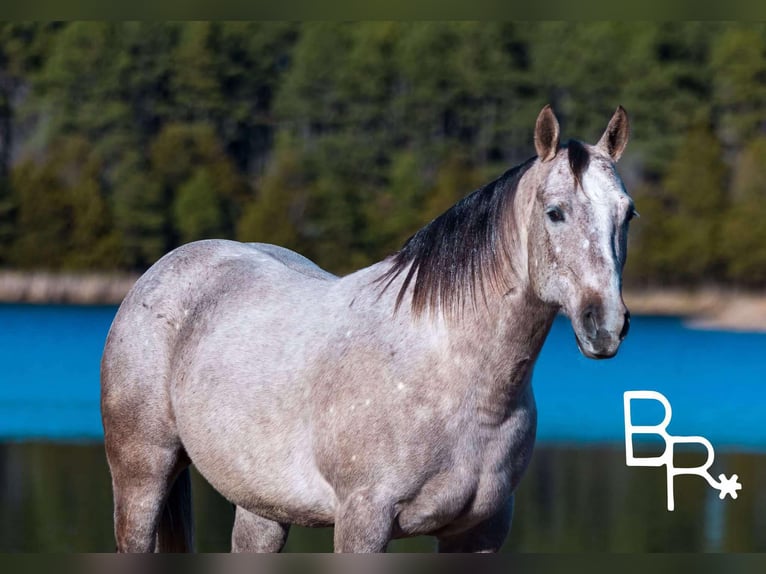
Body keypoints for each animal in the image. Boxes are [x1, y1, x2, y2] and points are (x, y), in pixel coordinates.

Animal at [101, 105, 635, 553]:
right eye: (555, 213)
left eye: (628, 213)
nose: (604, 324)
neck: (462, 385)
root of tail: (165, 268)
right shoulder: (363, 521)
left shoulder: (481, 530)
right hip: (142, 474)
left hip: (261, 506)